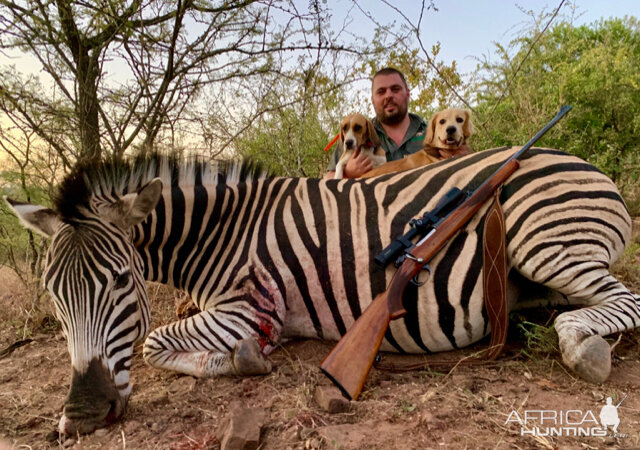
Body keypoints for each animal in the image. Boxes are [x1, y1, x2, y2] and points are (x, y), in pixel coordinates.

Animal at [6, 147, 640, 432]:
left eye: (119, 282)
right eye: (55, 296)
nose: (82, 415)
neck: (221, 231)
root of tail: (584, 164)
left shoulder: (245, 307)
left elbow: (154, 342)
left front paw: (246, 359)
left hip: (546, 243)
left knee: (623, 302)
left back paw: (583, 346)